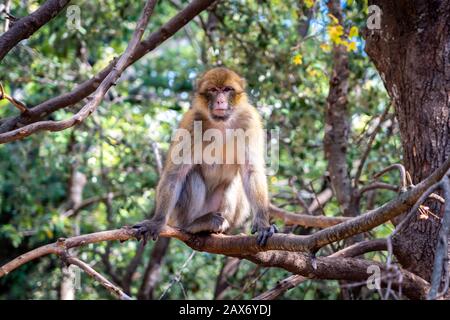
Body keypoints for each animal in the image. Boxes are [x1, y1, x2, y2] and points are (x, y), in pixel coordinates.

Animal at [132, 67, 276, 245]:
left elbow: (251, 171)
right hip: (180, 214)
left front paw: (263, 224)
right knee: (191, 175)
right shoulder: (192, 123)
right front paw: (156, 222)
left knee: (235, 182)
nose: (220, 101)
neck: (221, 123)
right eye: (213, 90)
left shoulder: (250, 121)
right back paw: (195, 224)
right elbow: (175, 174)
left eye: (227, 90)